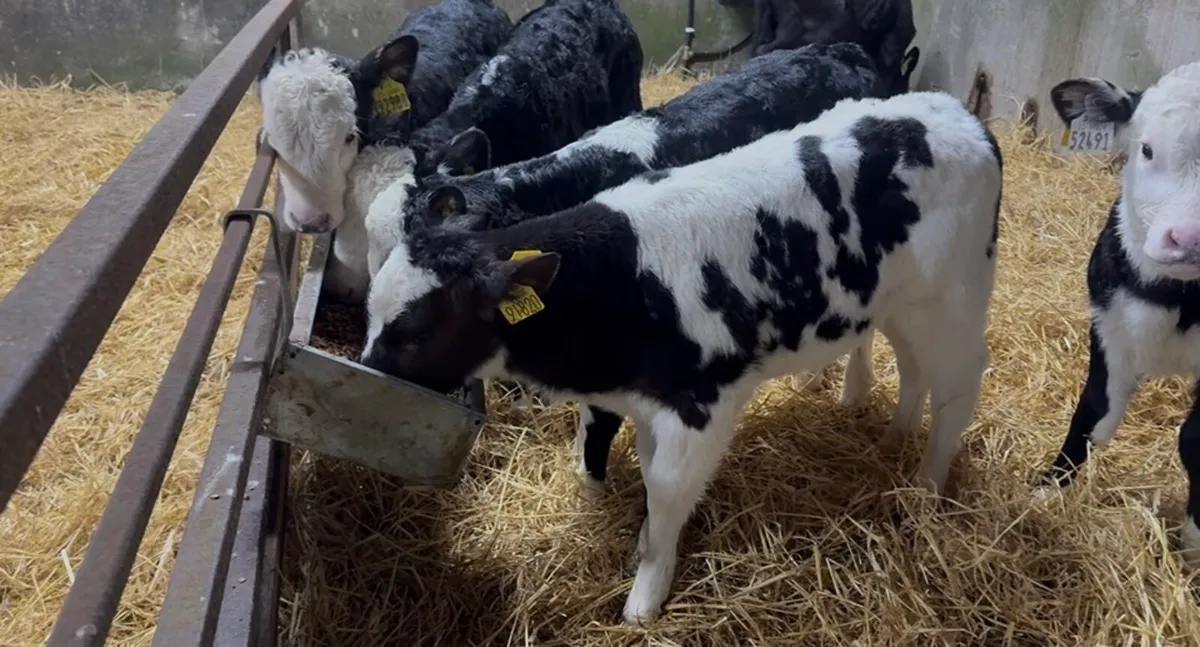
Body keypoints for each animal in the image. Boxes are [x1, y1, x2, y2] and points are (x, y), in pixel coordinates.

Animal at [358, 89, 1003, 623]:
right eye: (369, 312)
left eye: (413, 333)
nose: (370, 375)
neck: (621, 278)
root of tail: (962, 116)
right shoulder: (647, 402)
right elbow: (646, 476)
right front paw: (644, 545)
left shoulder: (700, 404)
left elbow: (667, 489)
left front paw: (645, 596)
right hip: (900, 303)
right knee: (915, 367)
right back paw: (894, 441)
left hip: (955, 297)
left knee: (958, 383)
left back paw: (925, 487)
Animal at [1038, 61, 1200, 571]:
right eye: (1146, 149)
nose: (1189, 238)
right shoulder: (1110, 327)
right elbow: (1093, 415)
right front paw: (1045, 493)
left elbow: (1195, 440)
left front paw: (1194, 541)